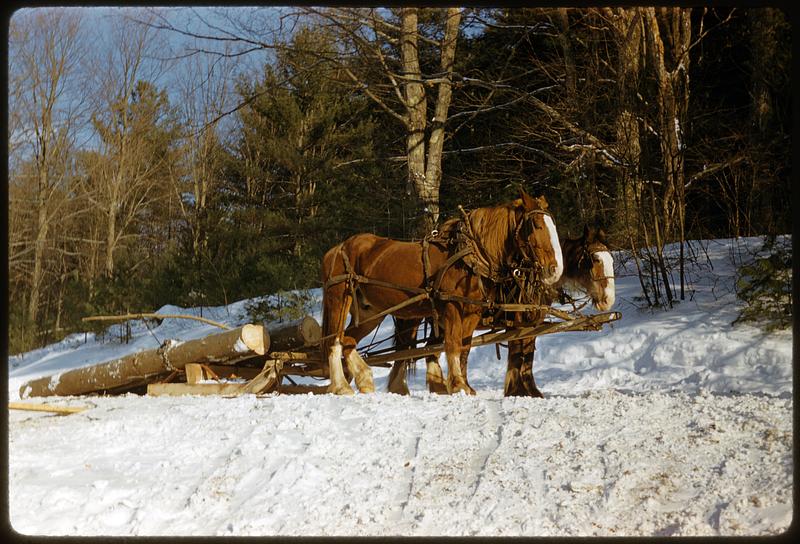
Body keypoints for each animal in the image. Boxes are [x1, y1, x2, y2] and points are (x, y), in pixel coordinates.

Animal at [320, 190, 563, 395]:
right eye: (535, 225)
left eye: (553, 224)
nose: (555, 269)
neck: (471, 255)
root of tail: (336, 248)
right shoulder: (452, 308)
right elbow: (452, 345)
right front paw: (457, 385)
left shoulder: (472, 313)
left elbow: (464, 347)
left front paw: (464, 385)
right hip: (339, 298)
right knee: (335, 341)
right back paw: (341, 386)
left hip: (371, 311)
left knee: (348, 339)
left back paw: (365, 378)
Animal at [389, 225, 614, 396]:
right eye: (595, 259)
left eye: (611, 259)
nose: (608, 300)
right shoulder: (519, 323)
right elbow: (518, 355)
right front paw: (518, 390)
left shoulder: (530, 325)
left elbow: (527, 356)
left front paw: (527, 390)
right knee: (409, 351)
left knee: (430, 350)